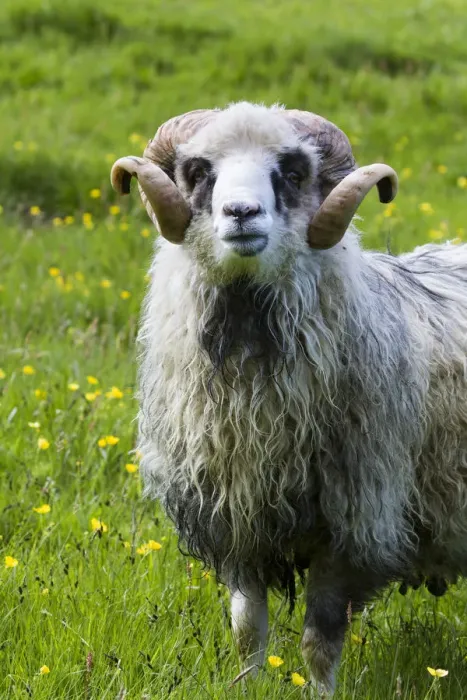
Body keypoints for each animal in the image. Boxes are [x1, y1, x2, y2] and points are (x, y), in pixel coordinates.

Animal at [110, 102, 467, 694]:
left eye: (294, 172)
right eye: (199, 171)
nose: (241, 212)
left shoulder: (352, 525)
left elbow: (318, 642)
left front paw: (322, 694)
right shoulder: (237, 517)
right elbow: (245, 630)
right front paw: (246, 687)